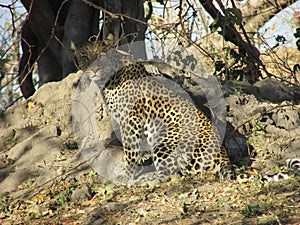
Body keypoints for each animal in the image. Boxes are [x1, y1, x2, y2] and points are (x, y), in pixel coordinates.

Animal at [72, 36, 300, 185]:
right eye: (84, 57)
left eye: (102, 55)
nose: (93, 69)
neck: (108, 80)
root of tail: (223, 155)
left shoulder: (132, 121)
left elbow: (130, 153)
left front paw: (126, 177)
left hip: (166, 136)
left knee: (171, 173)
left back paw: (145, 178)